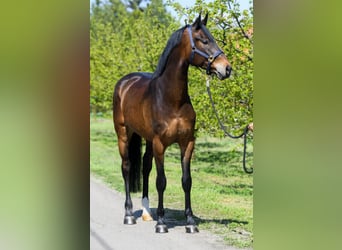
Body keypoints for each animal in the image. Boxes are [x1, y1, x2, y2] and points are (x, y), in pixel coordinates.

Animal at [113, 13, 231, 232]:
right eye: (203, 40)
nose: (226, 68)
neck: (171, 99)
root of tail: (124, 82)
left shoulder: (187, 143)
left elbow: (186, 180)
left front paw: (190, 222)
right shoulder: (161, 144)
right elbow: (161, 181)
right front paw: (161, 223)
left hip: (147, 139)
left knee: (145, 167)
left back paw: (146, 212)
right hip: (124, 134)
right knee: (126, 167)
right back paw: (129, 214)